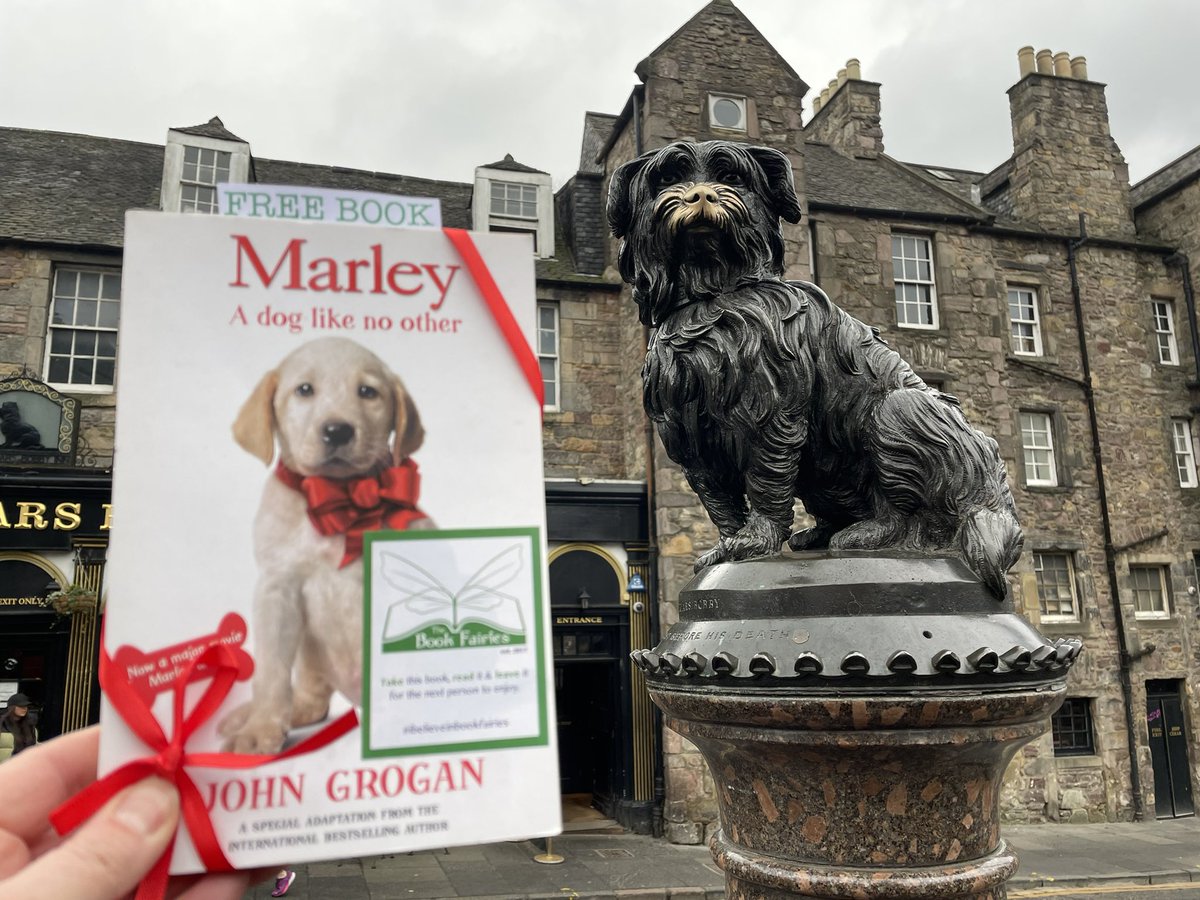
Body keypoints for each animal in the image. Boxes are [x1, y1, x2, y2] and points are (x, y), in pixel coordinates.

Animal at [219, 338, 432, 753]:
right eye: (304, 390)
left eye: (368, 392)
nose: (337, 431)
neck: (338, 496)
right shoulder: (277, 589)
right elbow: (270, 671)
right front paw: (259, 729)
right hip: (311, 651)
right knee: (311, 693)